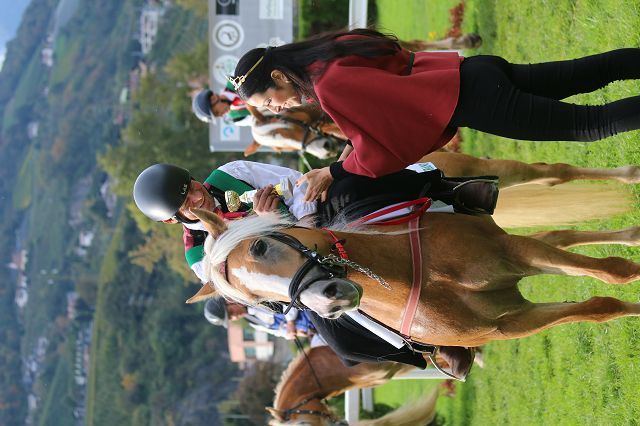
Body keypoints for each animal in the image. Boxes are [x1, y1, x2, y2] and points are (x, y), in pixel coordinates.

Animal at [193, 208, 640, 348]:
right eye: (268, 305)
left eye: (259, 247)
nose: (329, 300)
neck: (426, 280)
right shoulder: (512, 322)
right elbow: (600, 307)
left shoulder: (511, 254)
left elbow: (612, 276)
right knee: (561, 236)